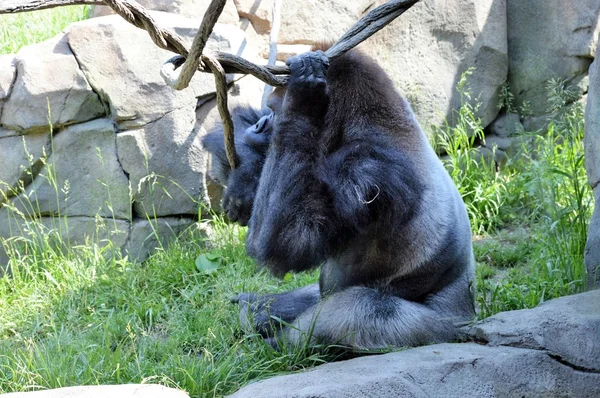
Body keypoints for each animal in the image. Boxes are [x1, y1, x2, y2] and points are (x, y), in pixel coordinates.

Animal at [204, 48, 476, 350]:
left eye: (275, 111)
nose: (261, 124)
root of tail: (468, 313)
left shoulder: (366, 168)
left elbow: (290, 241)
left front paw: (305, 99)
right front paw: (242, 181)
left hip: (438, 330)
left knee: (361, 309)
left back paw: (280, 341)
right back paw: (258, 309)